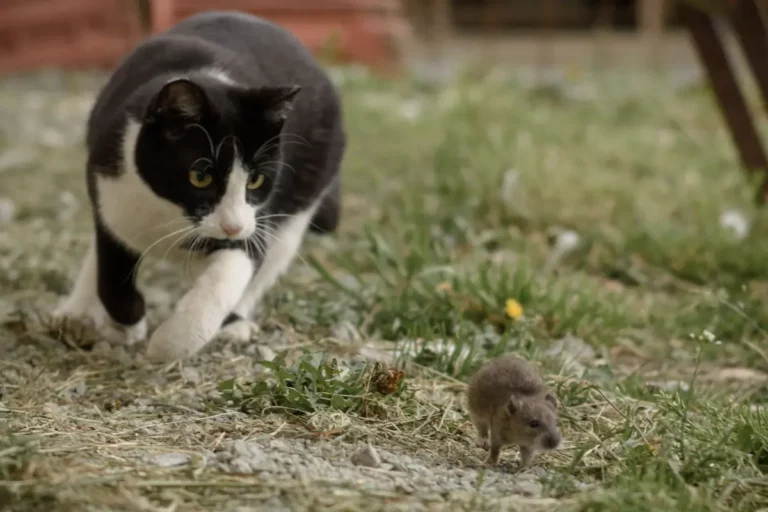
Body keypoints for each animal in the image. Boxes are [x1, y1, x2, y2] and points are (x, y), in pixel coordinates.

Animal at [51, 10, 344, 362]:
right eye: (200, 177)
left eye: (256, 179)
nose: (231, 227)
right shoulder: (108, 190)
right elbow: (111, 269)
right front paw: (130, 323)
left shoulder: (254, 221)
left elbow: (229, 275)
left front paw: (169, 342)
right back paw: (78, 311)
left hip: (303, 197)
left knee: (272, 259)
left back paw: (235, 324)